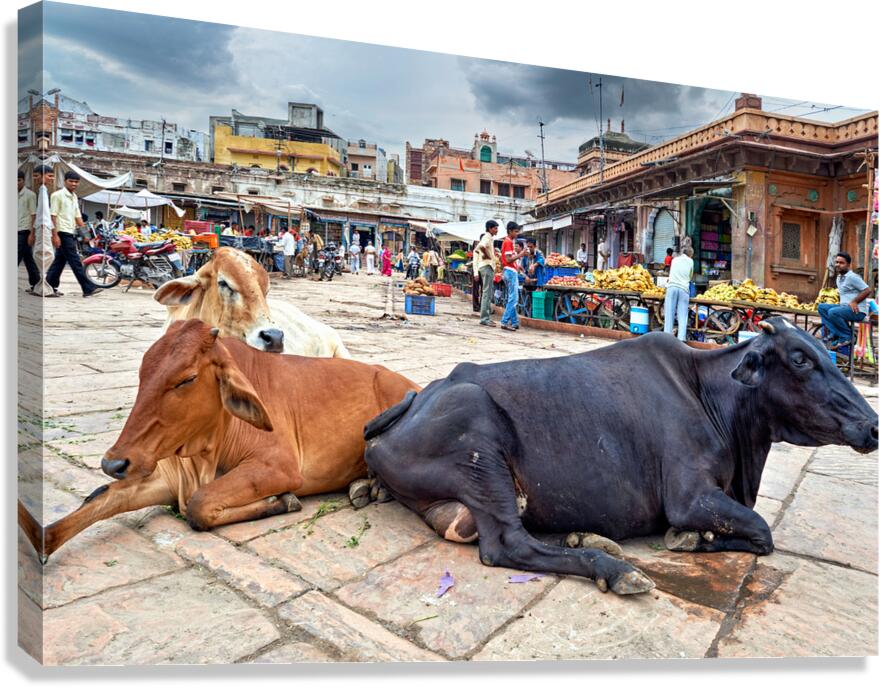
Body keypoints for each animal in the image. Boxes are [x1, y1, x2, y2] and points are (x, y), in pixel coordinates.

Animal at [20, 319, 418, 562]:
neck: (205, 449)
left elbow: (197, 506)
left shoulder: (279, 466)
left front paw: (280, 501)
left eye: (186, 379)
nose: (114, 462)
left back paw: (373, 487)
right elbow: (99, 500)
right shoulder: (165, 477)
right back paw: (363, 488)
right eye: (142, 371)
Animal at [363, 318, 878, 596]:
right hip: (479, 445)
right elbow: (762, 532)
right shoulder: (689, 496)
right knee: (509, 544)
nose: (873, 425)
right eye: (800, 359)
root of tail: (420, 396)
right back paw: (616, 569)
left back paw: (589, 538)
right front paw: (689, 539)